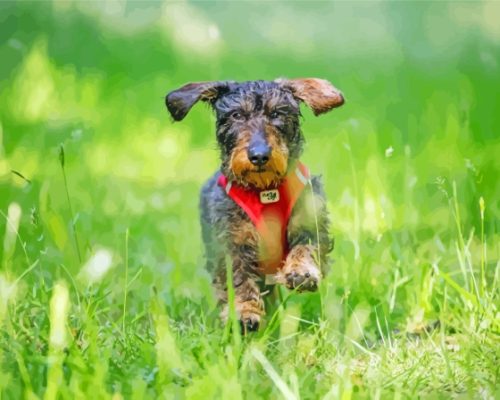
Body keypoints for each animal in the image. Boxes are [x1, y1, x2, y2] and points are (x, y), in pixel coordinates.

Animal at [166, 78, 346, 332]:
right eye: (236, 115)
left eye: (277, 113)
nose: (259, 155)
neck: (264, 190)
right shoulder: (232, 242)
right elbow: (238, 278)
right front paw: (244, 312)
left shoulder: (311, 219)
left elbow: (307, 245)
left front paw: (301, 271)